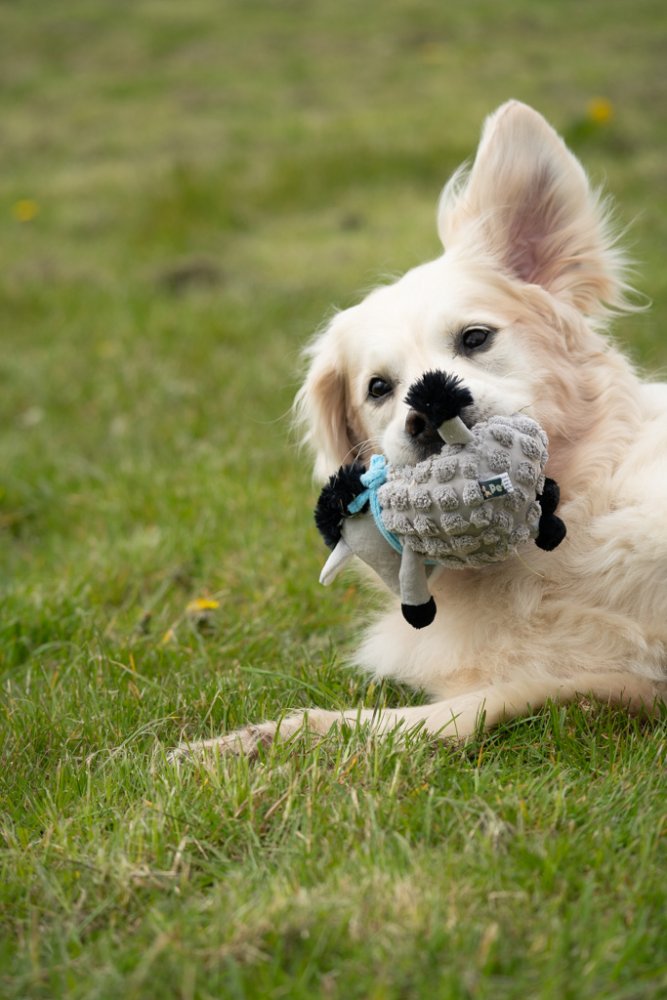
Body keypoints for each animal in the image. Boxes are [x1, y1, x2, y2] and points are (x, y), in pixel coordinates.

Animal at [176, 101, 667, 756]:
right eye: (378, 388)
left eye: (476, 338)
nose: (429, 407)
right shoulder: (588, 676)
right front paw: (235, 746)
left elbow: (419, 719)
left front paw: (253, 743)